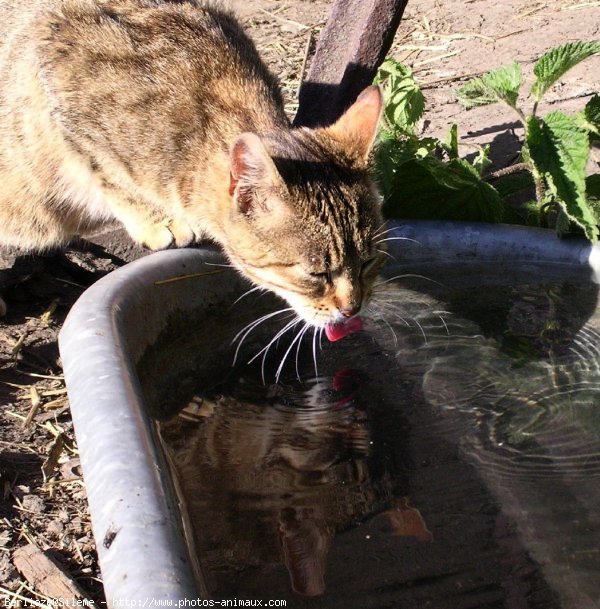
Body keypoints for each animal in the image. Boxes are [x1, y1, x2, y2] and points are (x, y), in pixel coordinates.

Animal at [0, 0, 384, 334]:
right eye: (316, 274)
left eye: (368, 262)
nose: (353, 308)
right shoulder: (54, 65)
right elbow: (106, 171)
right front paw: (155, 220)